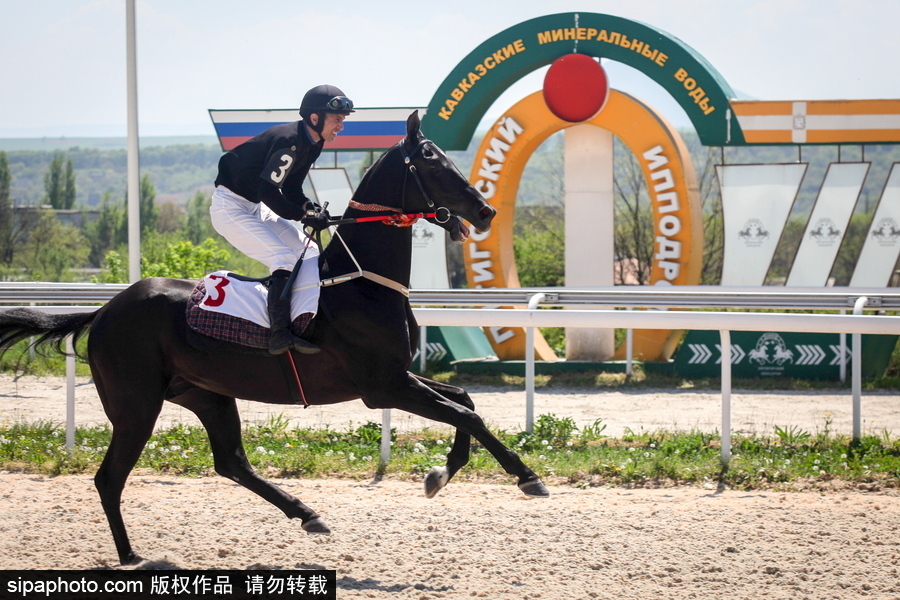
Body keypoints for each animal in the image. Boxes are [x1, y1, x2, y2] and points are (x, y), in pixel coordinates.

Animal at [0, 111, 548, 566]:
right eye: (432, 161)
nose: (485, 212)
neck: (361, 283)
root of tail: (105, 310)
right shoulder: (382, 387)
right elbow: (464, 412)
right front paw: (526, 477)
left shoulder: (399, 376)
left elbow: (464, 400)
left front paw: (442, 472)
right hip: (136, 405)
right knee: (110, 477)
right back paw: (131, 556)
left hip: (206, 394)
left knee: (231, 462)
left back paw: (307, 514)